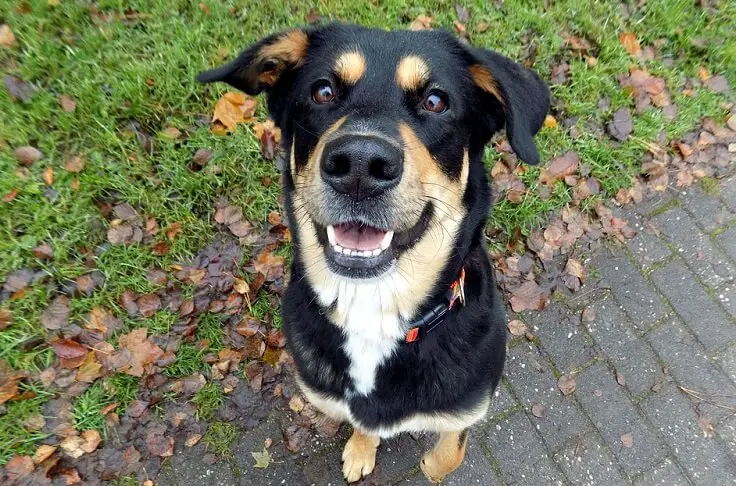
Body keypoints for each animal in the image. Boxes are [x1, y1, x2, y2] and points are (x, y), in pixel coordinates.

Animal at [198, 22, 548, 482]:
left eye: (435, 101)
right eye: (322, 91)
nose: (360, 165)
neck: (372, 309)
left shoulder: (465, 408)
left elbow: (447, 454)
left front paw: (430, 465)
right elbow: (362, 423)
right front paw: (360, 451)